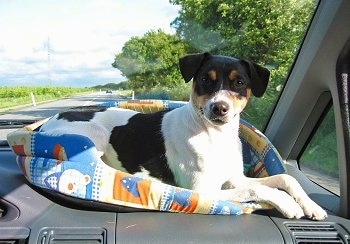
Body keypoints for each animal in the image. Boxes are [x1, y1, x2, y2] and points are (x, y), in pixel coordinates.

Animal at [39, 52, 326, 220]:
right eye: (205, 79)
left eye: (239, 83)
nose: (219, 108)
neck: (214, 138)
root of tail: (45, 124)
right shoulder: (204, 191)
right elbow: (257, 189)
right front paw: (288, 204)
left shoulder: (234, 179)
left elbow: (286, 178)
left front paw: (311, 205)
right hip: (94, 137)